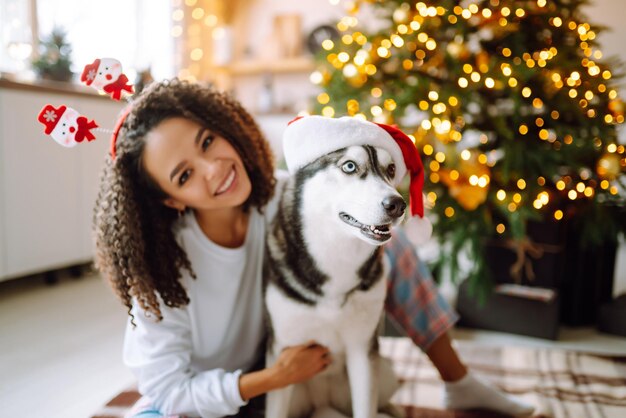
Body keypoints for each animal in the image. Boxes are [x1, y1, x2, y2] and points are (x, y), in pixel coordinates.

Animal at [262, 140, 404, 418]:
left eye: (391, 169)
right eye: (349, 166)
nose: (397, 204)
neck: (335, 257)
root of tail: (322, 402)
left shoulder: (362, 349)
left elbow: (366, 410)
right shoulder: (284, 355)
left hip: (385, 373)